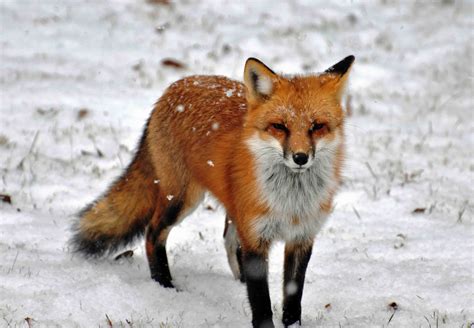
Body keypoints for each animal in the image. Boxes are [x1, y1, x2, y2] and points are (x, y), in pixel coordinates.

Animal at [69, 55, 352, 326]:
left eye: (317, 126)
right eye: (280, 127)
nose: (300, 158)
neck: (291, 202)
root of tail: (177, 86)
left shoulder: (301, 237)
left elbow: (292, 297)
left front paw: (292, 324)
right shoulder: (255, 238)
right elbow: (261, 303)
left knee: (228, 239)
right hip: (182, 200)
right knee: (152, 234)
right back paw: (164, 285)